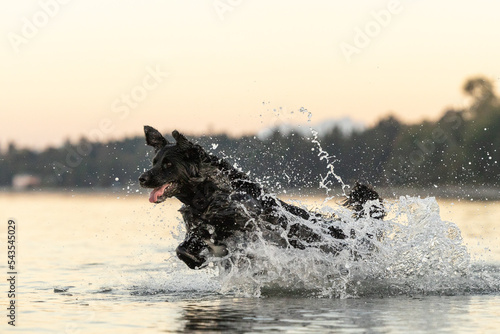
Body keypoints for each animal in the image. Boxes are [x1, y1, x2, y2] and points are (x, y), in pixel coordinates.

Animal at [139, 126, 384, 270]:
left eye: (168, 165)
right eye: (154, 162)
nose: (142, 178)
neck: (207, 194)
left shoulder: (248, 228)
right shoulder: (199, 228)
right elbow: (183, 248)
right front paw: (196, 258)